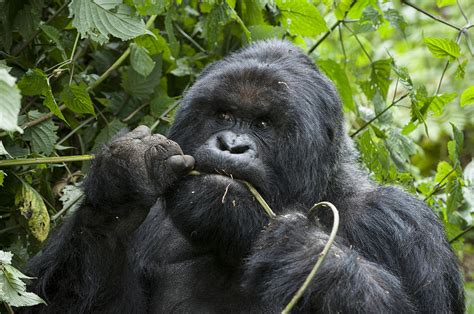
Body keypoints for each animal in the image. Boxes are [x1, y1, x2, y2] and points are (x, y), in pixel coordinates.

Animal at [22, 40, 462, 312]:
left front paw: (308, 255)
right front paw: (121, 185)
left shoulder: (400, 222)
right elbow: (38, 298)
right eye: (224, 114)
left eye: (263, 123)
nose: (232, 145)